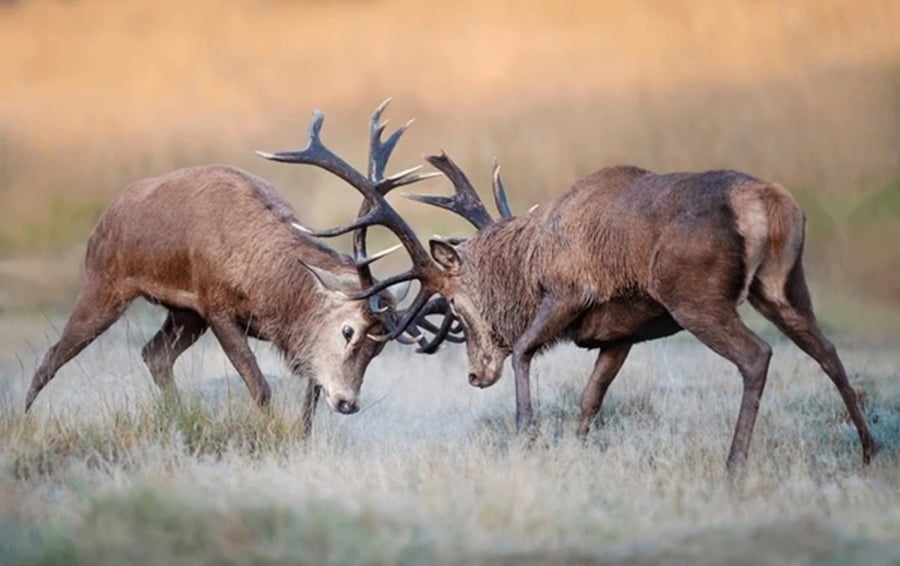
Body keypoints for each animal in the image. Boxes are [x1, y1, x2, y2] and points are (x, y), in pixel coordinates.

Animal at [24, 100, 444, 433]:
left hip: (184, 315)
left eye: (380, 346)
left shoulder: (283, 334)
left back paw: (177, 417)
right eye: (347, 330)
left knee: (154, 354)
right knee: (52, 355)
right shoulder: (216, 305)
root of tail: (108, 212)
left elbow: (309, 398)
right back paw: (24, 421)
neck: (270, 291)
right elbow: (260, 385)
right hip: (104, 281)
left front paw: (302, 438)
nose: (348, 403)